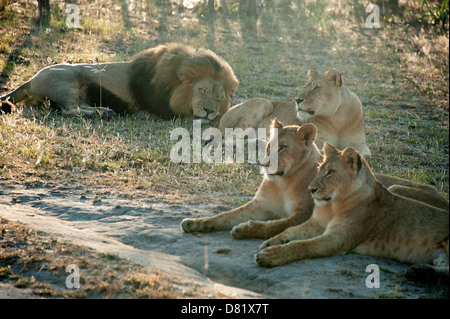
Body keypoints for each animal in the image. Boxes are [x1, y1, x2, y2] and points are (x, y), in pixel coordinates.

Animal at [0, 42, 239, 122]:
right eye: (202, 90)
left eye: (220, 97)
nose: (209, 110)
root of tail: (30, 80)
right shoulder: (167, 111)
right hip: (67, 82)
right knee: (70, 110)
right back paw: (103, 113)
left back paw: (104, 111)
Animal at [182, 119, 446, 242]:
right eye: (268, 146)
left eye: (283, 148)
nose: (264, 164)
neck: (282, 182)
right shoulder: (258, 205)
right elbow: (224, 216)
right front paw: (195, 223)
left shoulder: (303, 212)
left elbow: (276, 225)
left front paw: (246, 229)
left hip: (395, 185)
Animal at [216, 68, 370, 161]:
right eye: (305, 87)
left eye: (316, 88)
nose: (297, 100)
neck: (338, 119)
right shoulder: (318, 142)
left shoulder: (359, 143)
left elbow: (366, 155)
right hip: (264, 103)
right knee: (230, 138)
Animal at [255, 142, 448, 284]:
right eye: (319, 169)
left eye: (330, 173)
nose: (311, 189)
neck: (334, 204)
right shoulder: (315, 224)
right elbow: (290, 231)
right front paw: (271, 242)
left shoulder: (338, 239)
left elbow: (302, 245)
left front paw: (270, 255)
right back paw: (418, 271)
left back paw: (418, 272)